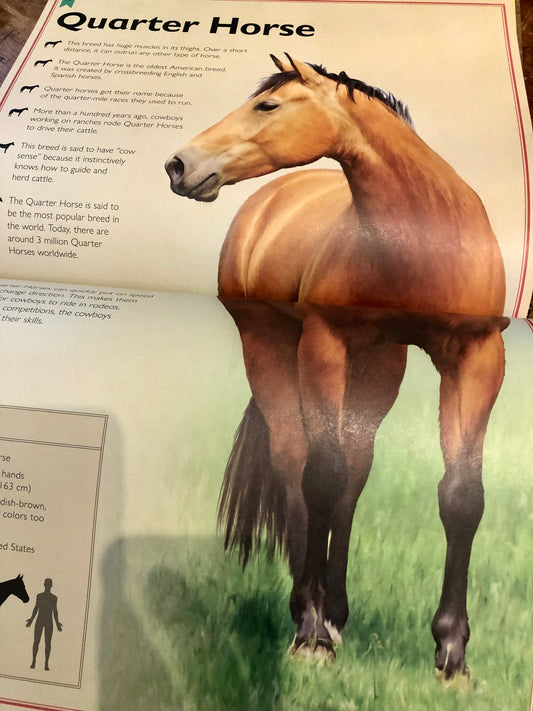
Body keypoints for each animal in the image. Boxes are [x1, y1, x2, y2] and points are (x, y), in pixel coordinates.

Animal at [166, 55, 508, 678]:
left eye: (268, 106)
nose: (180, 164)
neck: (423, 237)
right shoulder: (324, 346)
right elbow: (318, 476)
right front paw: (310, 636)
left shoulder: (477, 358)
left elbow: (461, 495)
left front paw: (452, 655)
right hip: (269, 344)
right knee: (295, 458)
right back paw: (310, 611)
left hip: (379, 364)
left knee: (355, 466)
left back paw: (337, 612)